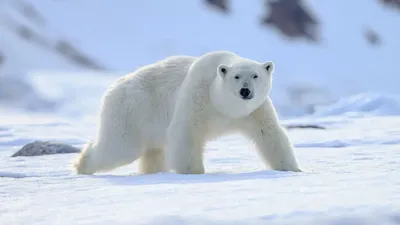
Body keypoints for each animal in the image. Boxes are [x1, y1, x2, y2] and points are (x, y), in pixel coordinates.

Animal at [73, 50, 302, 175]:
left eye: (255, 75)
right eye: (236, 76)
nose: (245, 91)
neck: (224, 107)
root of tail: (112, 88)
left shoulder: (255, 110)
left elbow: (269, 134)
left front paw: (293, 169)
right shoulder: (198, 95)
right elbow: (186, 133)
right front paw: (193, 172)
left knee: (153, 153)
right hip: (131, 112)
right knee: (119, 148)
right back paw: (82, 165)